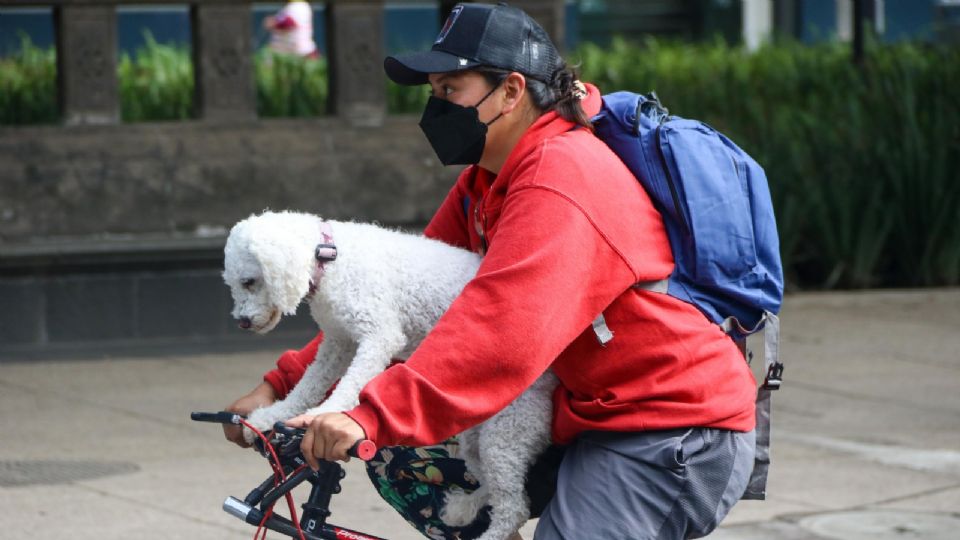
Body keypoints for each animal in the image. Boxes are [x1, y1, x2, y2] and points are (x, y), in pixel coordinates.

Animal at [222, 211, 560, 540]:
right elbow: (308, 385)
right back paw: (461, 508)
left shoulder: (378, 335)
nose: (241, 322)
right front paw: (268, 417)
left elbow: (349, 386)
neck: (331, 258)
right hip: (477, 437)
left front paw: (323, 417)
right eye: (233, 284)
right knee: (493, 488)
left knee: (513, 507)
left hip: (506, 431)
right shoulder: (338, 343)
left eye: (249, 281)